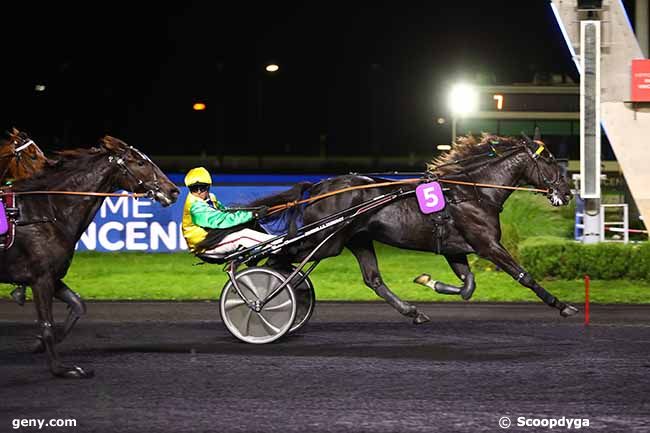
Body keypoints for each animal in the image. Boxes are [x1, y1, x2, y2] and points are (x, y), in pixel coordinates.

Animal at [0, 137, 178, 376]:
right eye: (140, 162)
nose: (174, 190)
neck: (48, 212)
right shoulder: (41, 278)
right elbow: (46, 324)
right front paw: (61, 369)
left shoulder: (52, 277)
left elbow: (78, 305)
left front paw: (38, 344)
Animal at [249, 133, 576, 322]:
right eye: (549, 160)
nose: (568, 192)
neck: (473, 191)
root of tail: (319, 186)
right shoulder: (488, 245)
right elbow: (524, 276)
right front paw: (562, 305)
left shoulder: (456, 249)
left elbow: (467, 287)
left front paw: (428, 281)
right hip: (326, 241)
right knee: (277, 258)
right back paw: (261, 297)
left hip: (357, 240)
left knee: (373, 280)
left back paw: (413, 312)